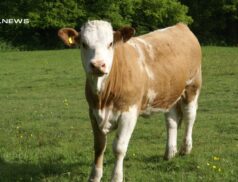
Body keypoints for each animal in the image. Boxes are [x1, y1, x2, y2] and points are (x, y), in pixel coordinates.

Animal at [57, 20, 201, 182]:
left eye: (110, 43)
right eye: (84, 43)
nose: (98, 65)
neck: (103, 98)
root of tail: (180, 25)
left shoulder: (129, 113)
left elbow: (119, 147)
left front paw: (116, 177)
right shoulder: (93, 112)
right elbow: (99, 146)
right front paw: (94, 177)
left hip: (193, 86)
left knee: (190, 117)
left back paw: (186, 148)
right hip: (169, 94)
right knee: (171, 121)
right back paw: (170, 153)